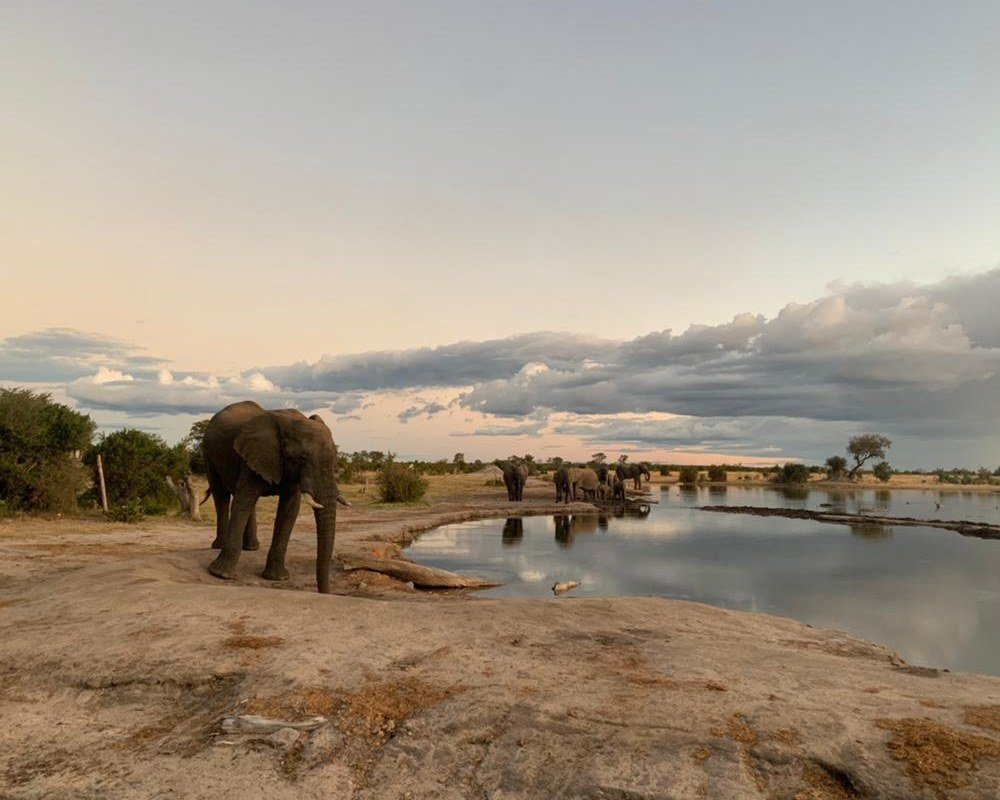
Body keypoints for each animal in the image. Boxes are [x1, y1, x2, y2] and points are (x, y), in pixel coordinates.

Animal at [202, 400, 348, 594]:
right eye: (302, 458)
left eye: (335, 459)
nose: (325, 593)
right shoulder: (256, 455)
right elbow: (242, 502)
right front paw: (221, 574)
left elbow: (289, 510)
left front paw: (277, 578)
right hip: (208, 453)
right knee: (222, 495)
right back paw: (219, 545)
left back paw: (251, 548)